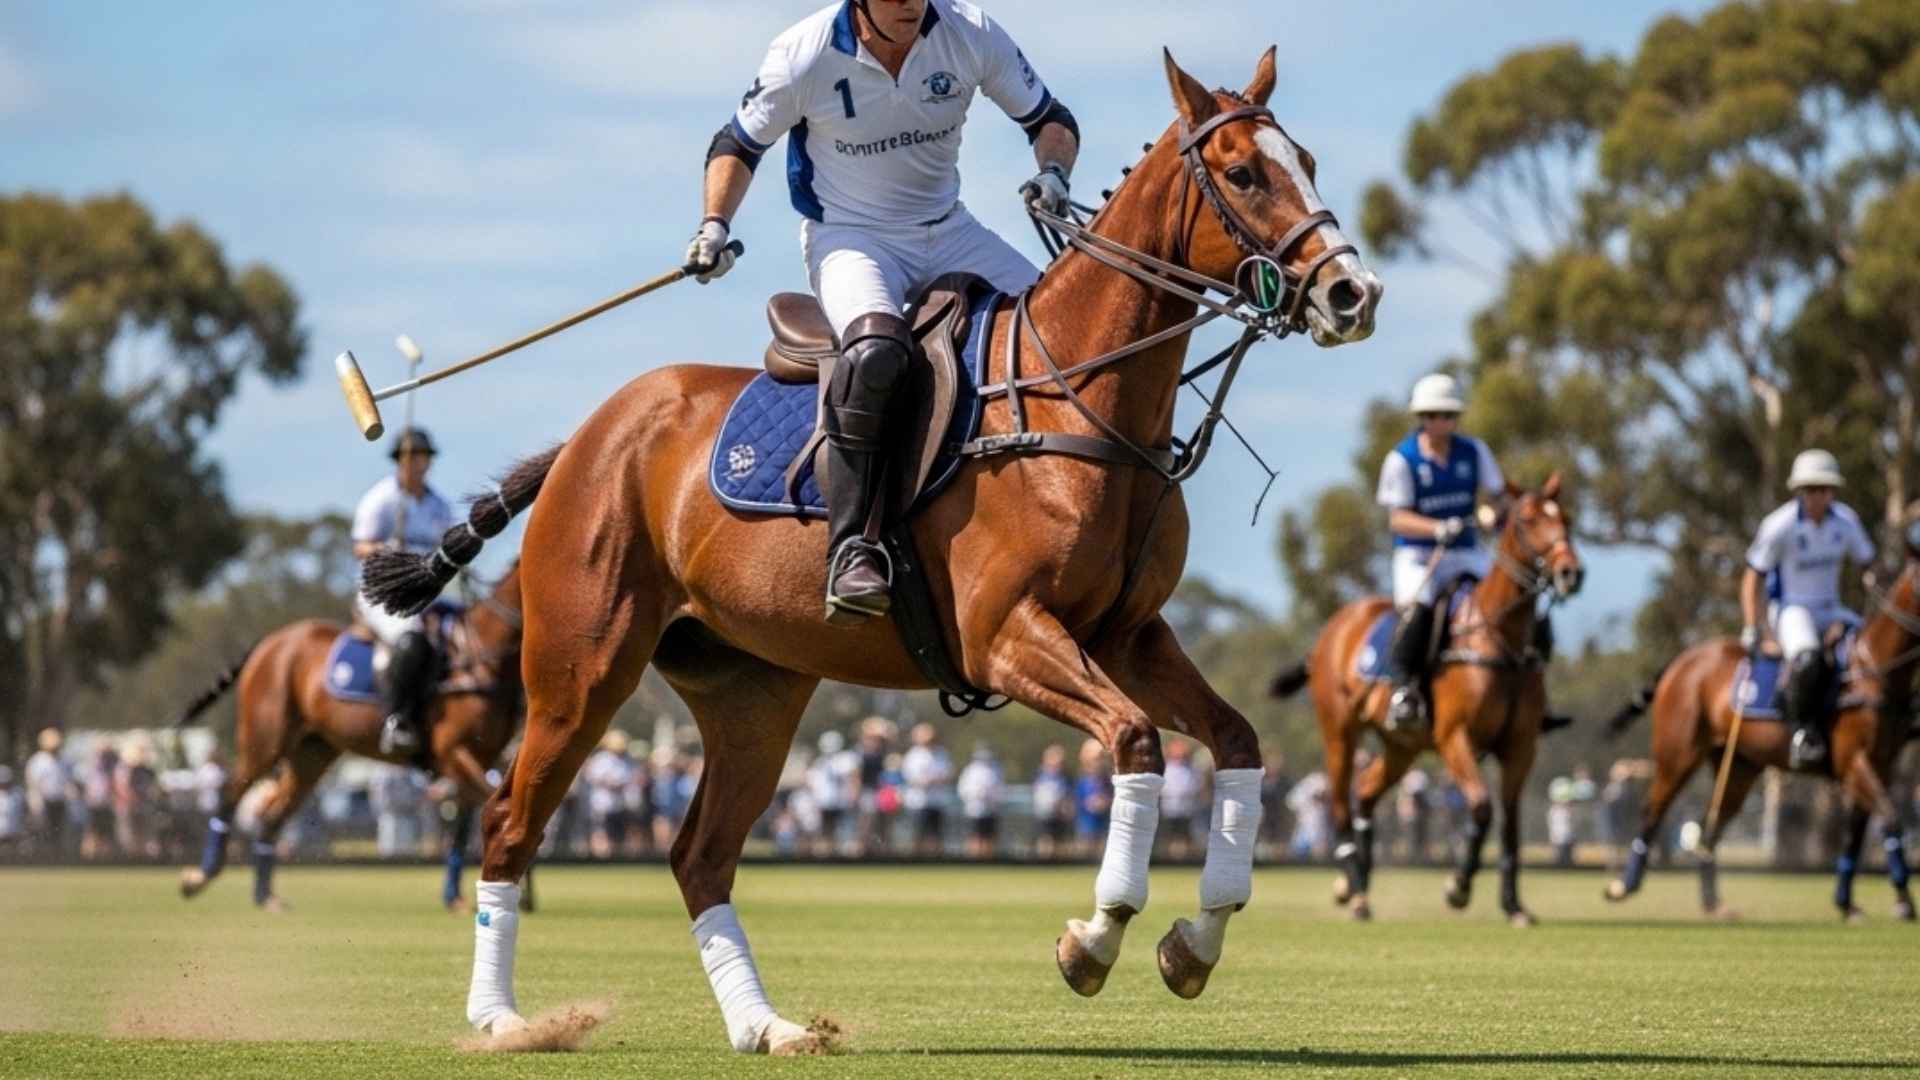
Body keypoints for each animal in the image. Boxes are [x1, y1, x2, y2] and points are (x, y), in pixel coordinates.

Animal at [173, 564, 526, 913]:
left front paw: (457, 898)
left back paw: (265, 896)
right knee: (230, 795)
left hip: (312, 753)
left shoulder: (483, 756)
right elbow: (494, 807)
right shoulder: (453, 751)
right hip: (264, 740)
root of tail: (269, 642)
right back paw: (198, 879)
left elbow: (465, 828)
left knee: (271, 815)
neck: (482, 657)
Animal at [359, 48, 1382, 1052]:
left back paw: (766, 1027)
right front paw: (1093, 939)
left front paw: (1194, 940)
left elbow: (1236, 741)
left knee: (700, 854)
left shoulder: (1127, 635)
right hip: (581, 668)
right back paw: (501, 1019)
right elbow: (1136, 741)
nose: (1353, 293)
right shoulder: (1003, 637)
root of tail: (586, 435)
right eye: (1244, 173)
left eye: (1308, 162)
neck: (1078, 402)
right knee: (508, 819)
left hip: (752, 690)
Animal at [1271, 476, 1584, 925]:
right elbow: (1482, 807)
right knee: (1341, 804)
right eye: (1527, 519)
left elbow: (1510, 827)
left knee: (1365, 792)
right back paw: (1354, 889)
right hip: (1339, 732)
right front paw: (1458, 888)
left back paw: (1359, 881)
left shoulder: (1521, 747)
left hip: (1402, 746)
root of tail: (1331, 632)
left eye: (1567, 518)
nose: (1571, 572)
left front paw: (1513, 906)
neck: (1498, 640)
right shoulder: (1455, 737)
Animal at [1602, 533, 1919, 922]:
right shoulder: (1853, 760)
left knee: (1709, 826)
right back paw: (1624, 885)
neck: (1874, 668)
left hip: (1739, 765)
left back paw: (1713, 903)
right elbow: (1889, 818)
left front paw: (1850, 903)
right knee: (1653, 809)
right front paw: (1903, 902)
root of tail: (1680, 662)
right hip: (1678, 752)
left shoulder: (1880, 762)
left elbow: (1857, 833)